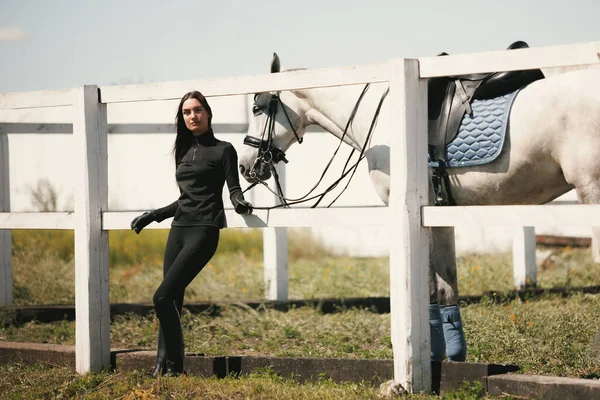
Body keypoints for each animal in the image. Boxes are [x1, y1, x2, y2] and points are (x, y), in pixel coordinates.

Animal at [237, 53, 600, 362]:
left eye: (257, 108)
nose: (245, 165)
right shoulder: (440, 215)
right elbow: (446, 287)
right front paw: (451, 357)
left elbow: (428, 287)